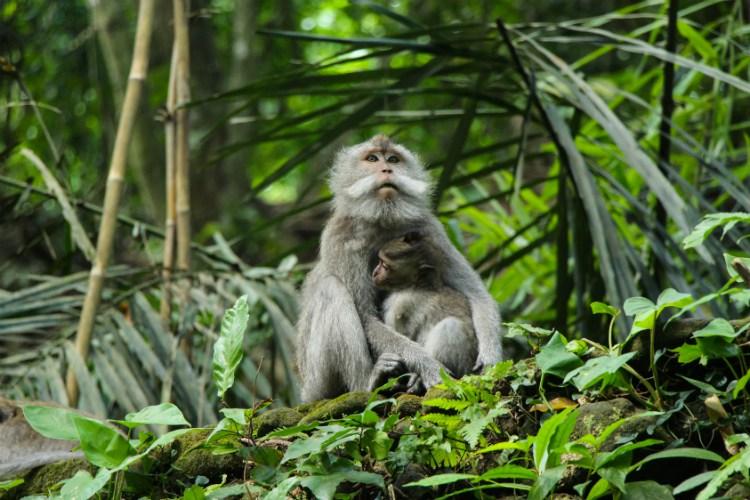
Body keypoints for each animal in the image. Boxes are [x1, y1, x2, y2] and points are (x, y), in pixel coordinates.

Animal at [369, 230, 478, 393]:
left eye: (384, 265)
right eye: (380, 262)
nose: (375, 272)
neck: (419, 285)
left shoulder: (402, 302)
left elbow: (403, 334)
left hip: (463, 368)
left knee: (451, 325)